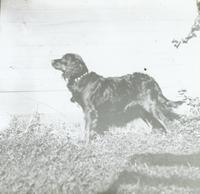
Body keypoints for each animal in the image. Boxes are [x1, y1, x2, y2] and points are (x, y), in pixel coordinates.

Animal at [52, 53, 183, 142]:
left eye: (64, 59)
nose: (52, 60)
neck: (81, 78)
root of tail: (151, 79)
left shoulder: (90, 111)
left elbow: (87, 129)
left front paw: (86, 143)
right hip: (143, 110)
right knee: (154, 125)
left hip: (151, 107)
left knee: (167, 122)